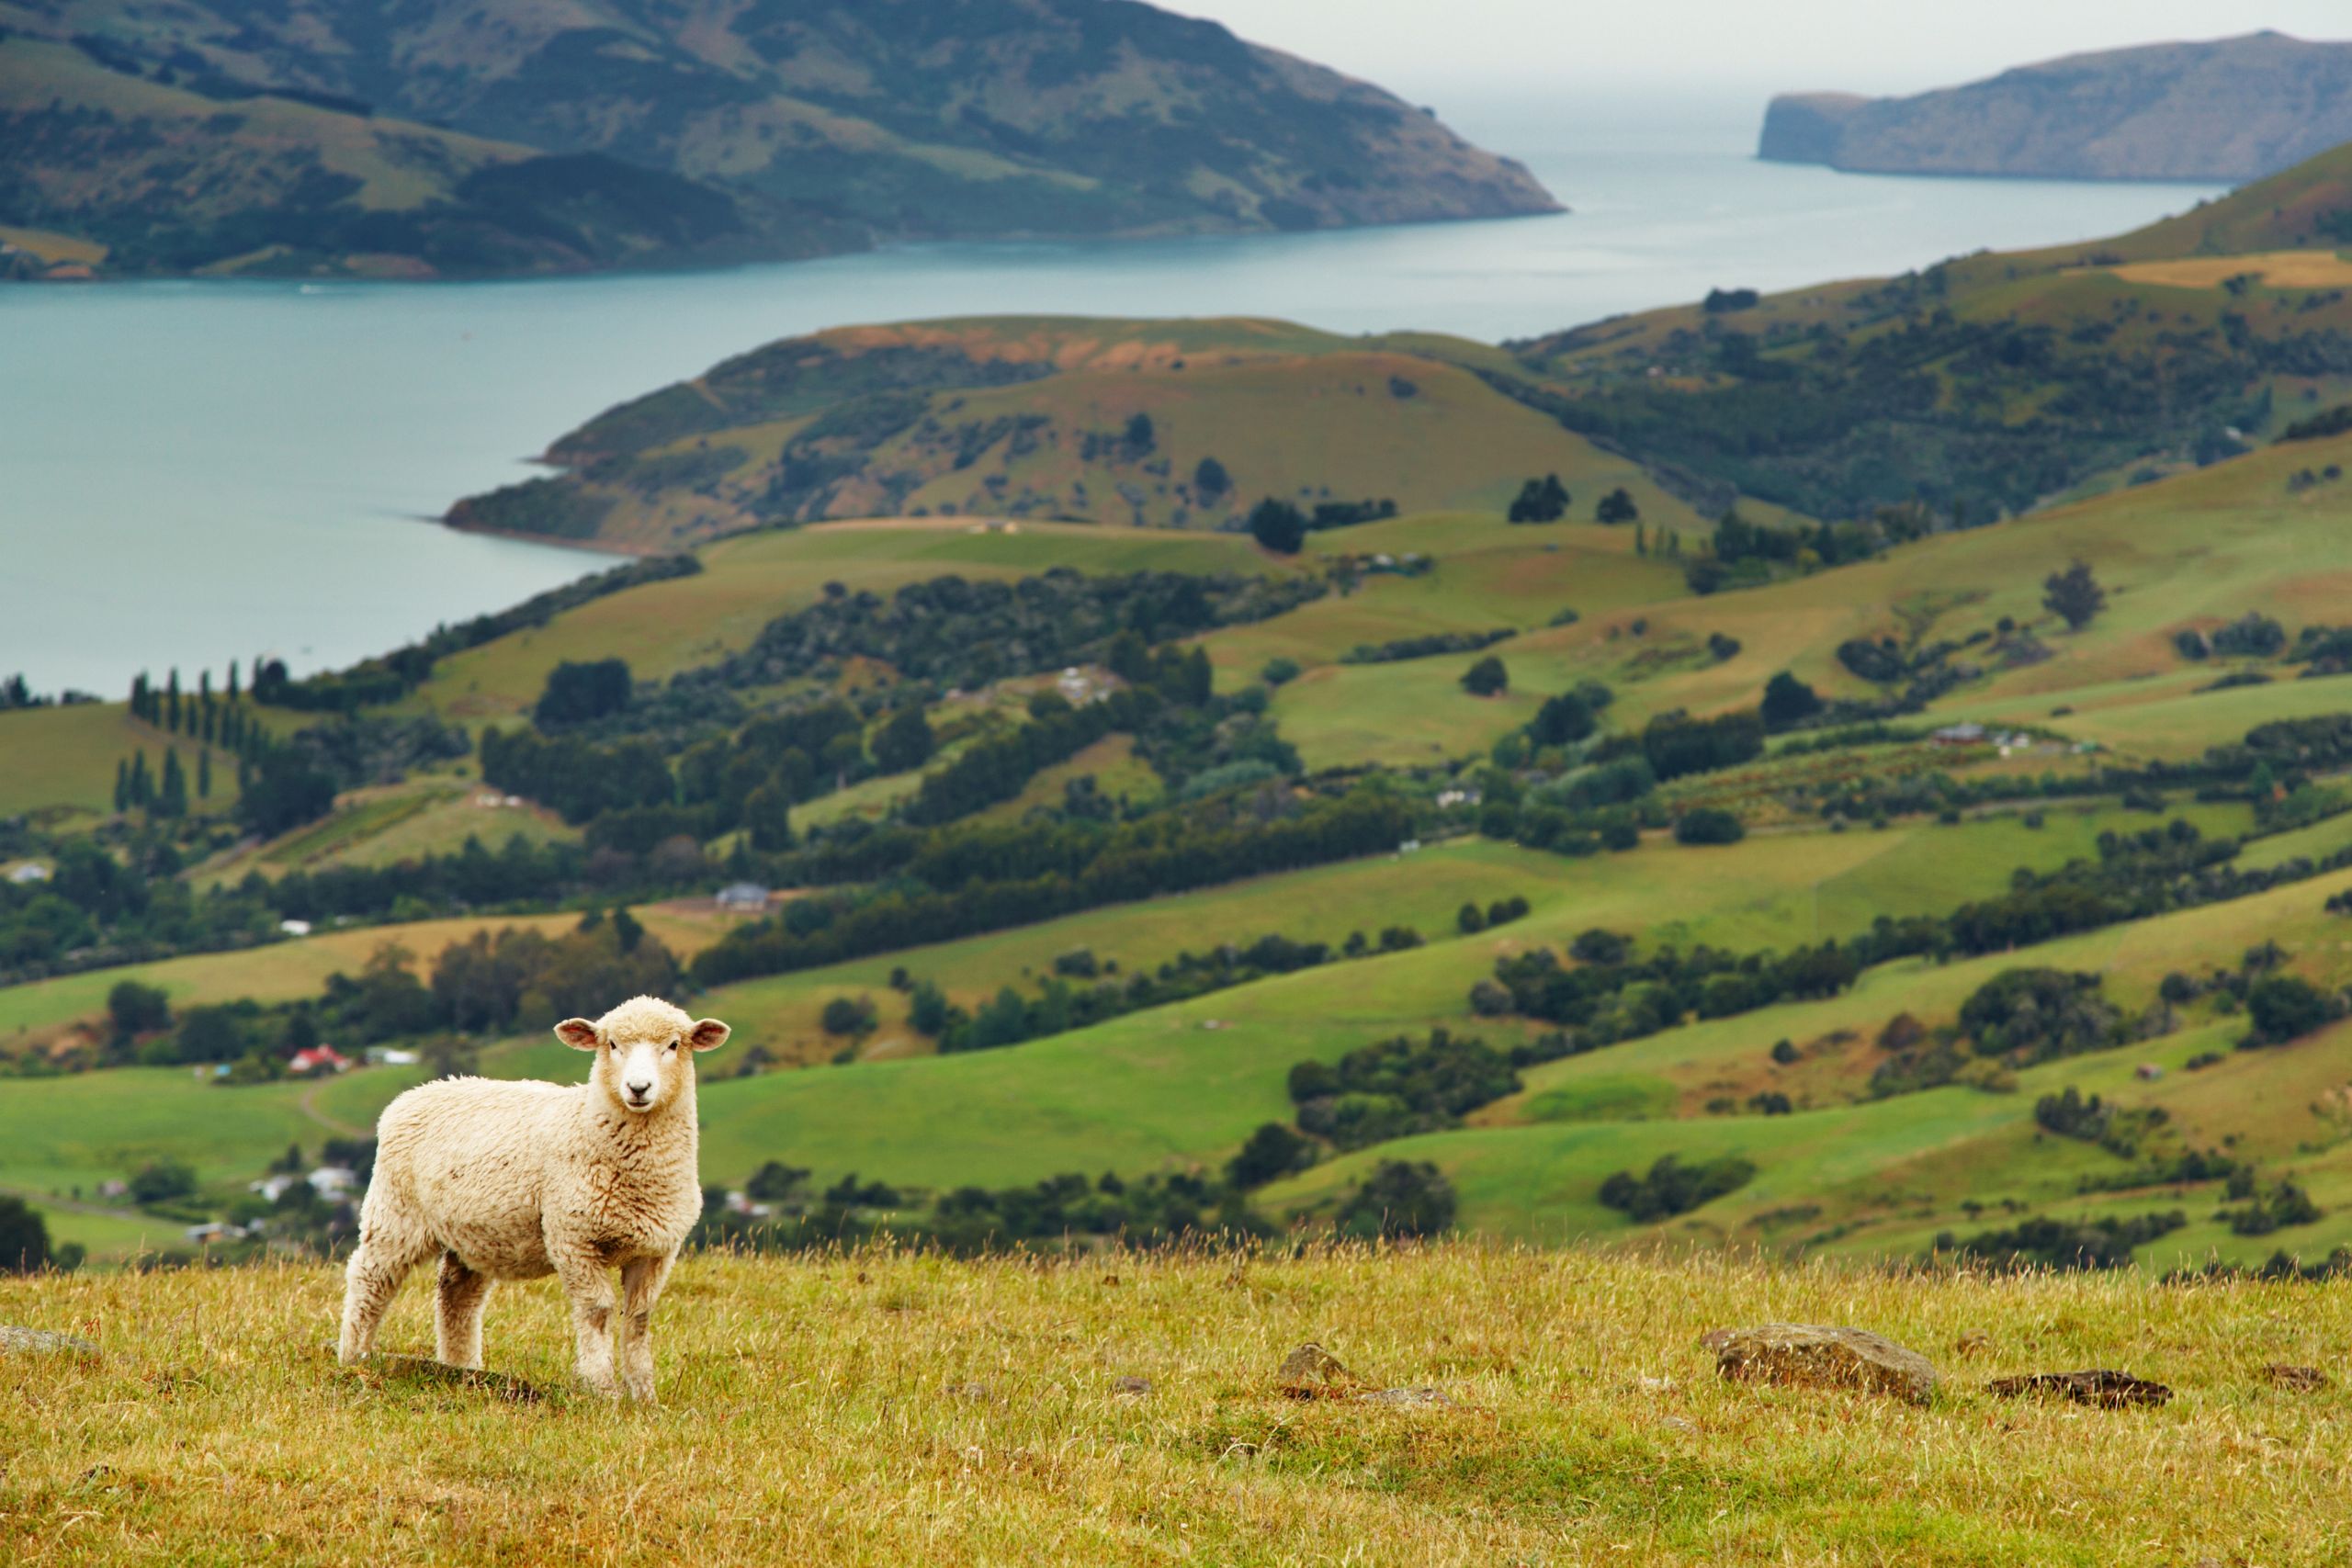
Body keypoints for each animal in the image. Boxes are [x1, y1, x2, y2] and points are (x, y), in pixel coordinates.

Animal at [336, 991, 729, 1401]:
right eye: (611, 1045)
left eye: (674, 1045)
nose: (638, 1088)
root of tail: (415, 1093)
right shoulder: (573, 1239)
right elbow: (597, 1311)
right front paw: (602, 1389)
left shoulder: (656, 1250)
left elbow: (639, 1319)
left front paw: (643, 1395)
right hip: (396, 1213)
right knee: (369, 1279)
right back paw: (354, 1357)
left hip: (473, 1234)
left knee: (457, 1296)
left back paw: (462, 1369)